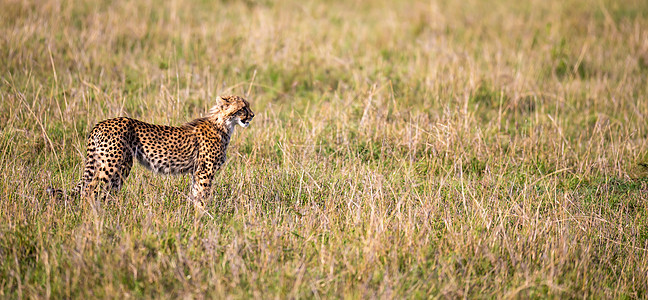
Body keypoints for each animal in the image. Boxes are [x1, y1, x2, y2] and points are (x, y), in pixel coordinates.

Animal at [48, 95, 254, 203]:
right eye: (242, 108)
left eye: (248, 106)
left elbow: (196, 193)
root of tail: (102, 123)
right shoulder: (205, 171)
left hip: (119, 165)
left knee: (106, 190)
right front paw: (203, 217)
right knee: (90, 190)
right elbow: (202, 195)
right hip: (113, 164)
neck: (224, 124)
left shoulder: (197, 171)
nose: (252, 115)